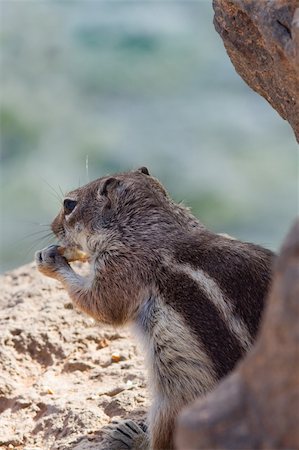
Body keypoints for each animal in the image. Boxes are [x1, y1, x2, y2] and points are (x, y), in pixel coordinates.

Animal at [35, 169, 274, 450]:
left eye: (69, 205)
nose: (53, 227)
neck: (150, 224)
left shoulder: (122, 266)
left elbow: (102, 305)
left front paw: (51, 260)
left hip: (176, 398)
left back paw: (131, 436)